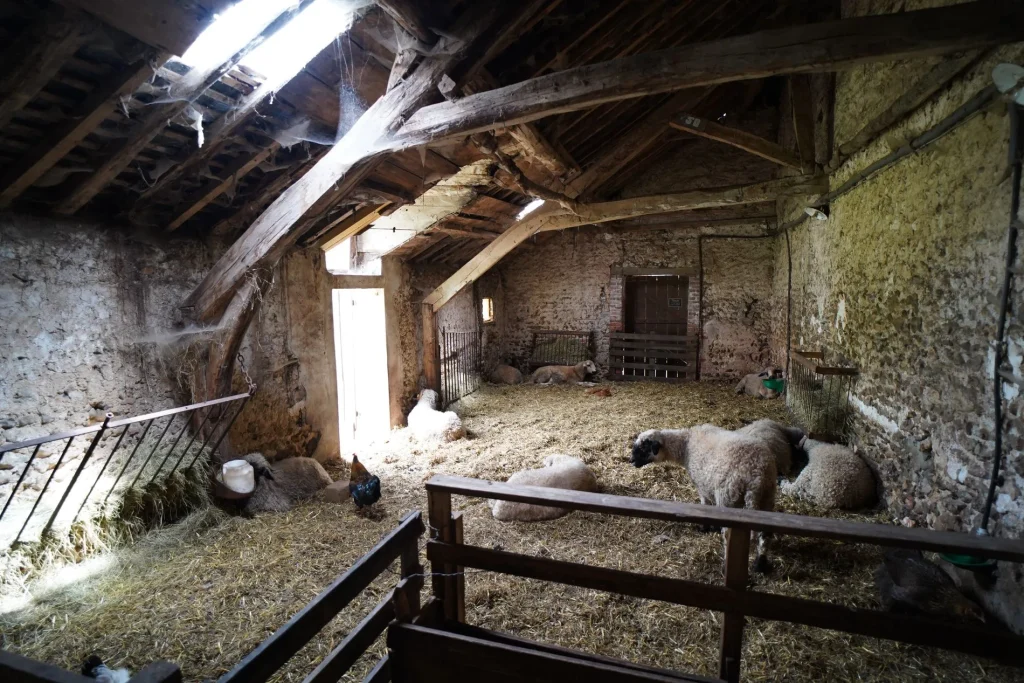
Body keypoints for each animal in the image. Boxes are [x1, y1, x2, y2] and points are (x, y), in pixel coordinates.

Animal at [630, 423, 774, 573]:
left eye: (643, 447)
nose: (631, 461)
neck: (685, 444)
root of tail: (755, 477)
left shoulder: (702, 486)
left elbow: (705, 506)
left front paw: (704, 528)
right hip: (767, 497)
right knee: (766, 534)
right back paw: (760, 564)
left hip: (728, 497)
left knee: (728, 535)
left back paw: (726, 565)